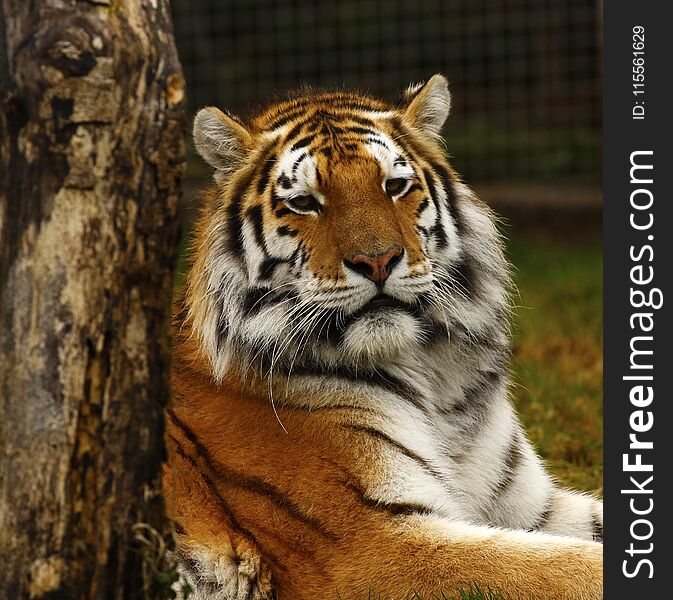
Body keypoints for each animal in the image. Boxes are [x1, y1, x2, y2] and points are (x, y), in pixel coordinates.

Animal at [164, 75, 604, 600]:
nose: (377, 260)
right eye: (304, 202)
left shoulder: (528, 505)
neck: (436, 380)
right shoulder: (370, 545)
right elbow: (564, 568)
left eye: (394, 186)